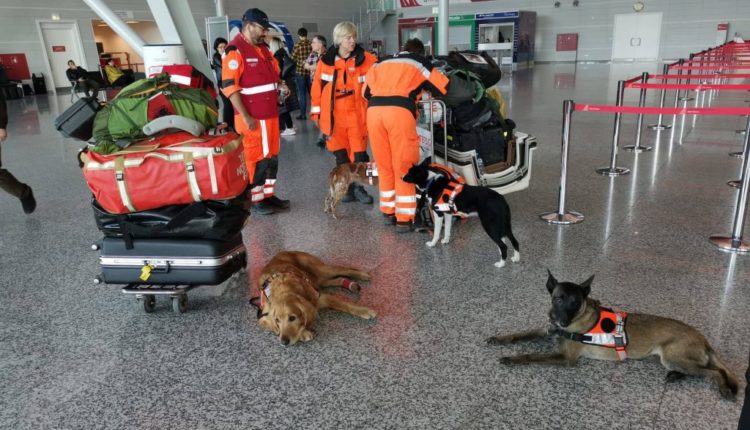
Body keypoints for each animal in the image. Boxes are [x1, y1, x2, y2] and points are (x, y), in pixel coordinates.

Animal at [488, 272, 740, 400]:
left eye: (575, 302)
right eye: (558, 298)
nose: (564, 322)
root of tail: (704, 339)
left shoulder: (566, 359)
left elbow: (531, 355)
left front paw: (512, 358)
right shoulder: (546, 330)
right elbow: (521, 334)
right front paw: (500, 339)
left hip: (673, 356)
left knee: (714, 371)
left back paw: (724, 388)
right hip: (670, 359)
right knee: (701, 369)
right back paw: (675, 376)